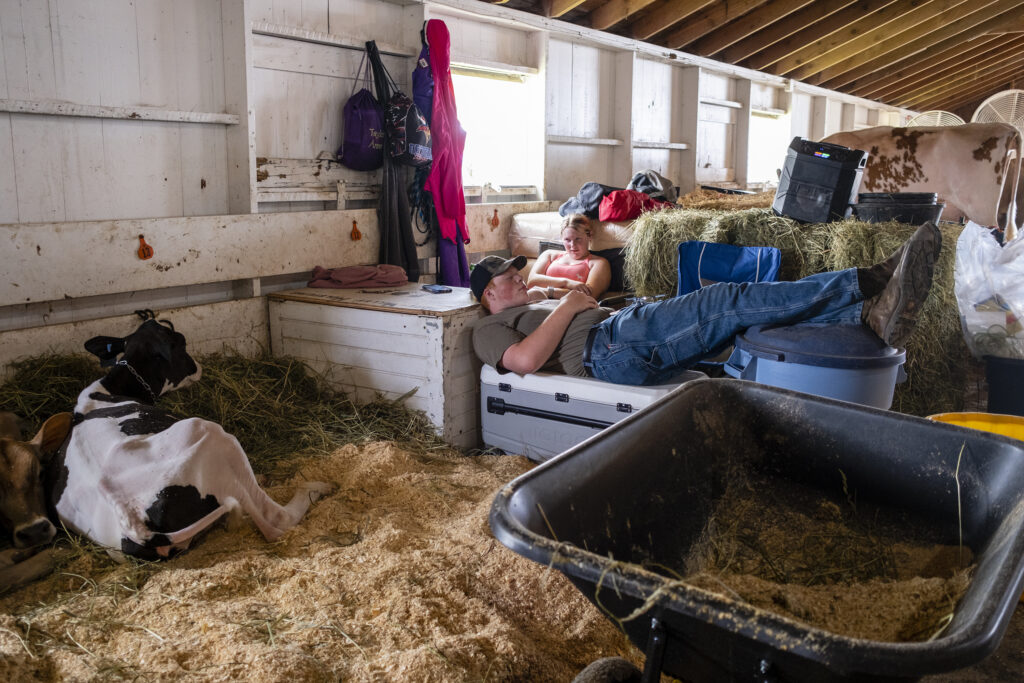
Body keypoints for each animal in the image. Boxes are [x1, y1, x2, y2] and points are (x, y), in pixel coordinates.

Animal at [52, 315, 331, 561]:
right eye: (181, 341)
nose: (199, 367)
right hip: (210, 434)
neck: (108, 390)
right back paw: (316, 487)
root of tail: (133, 522)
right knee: (276, 521)